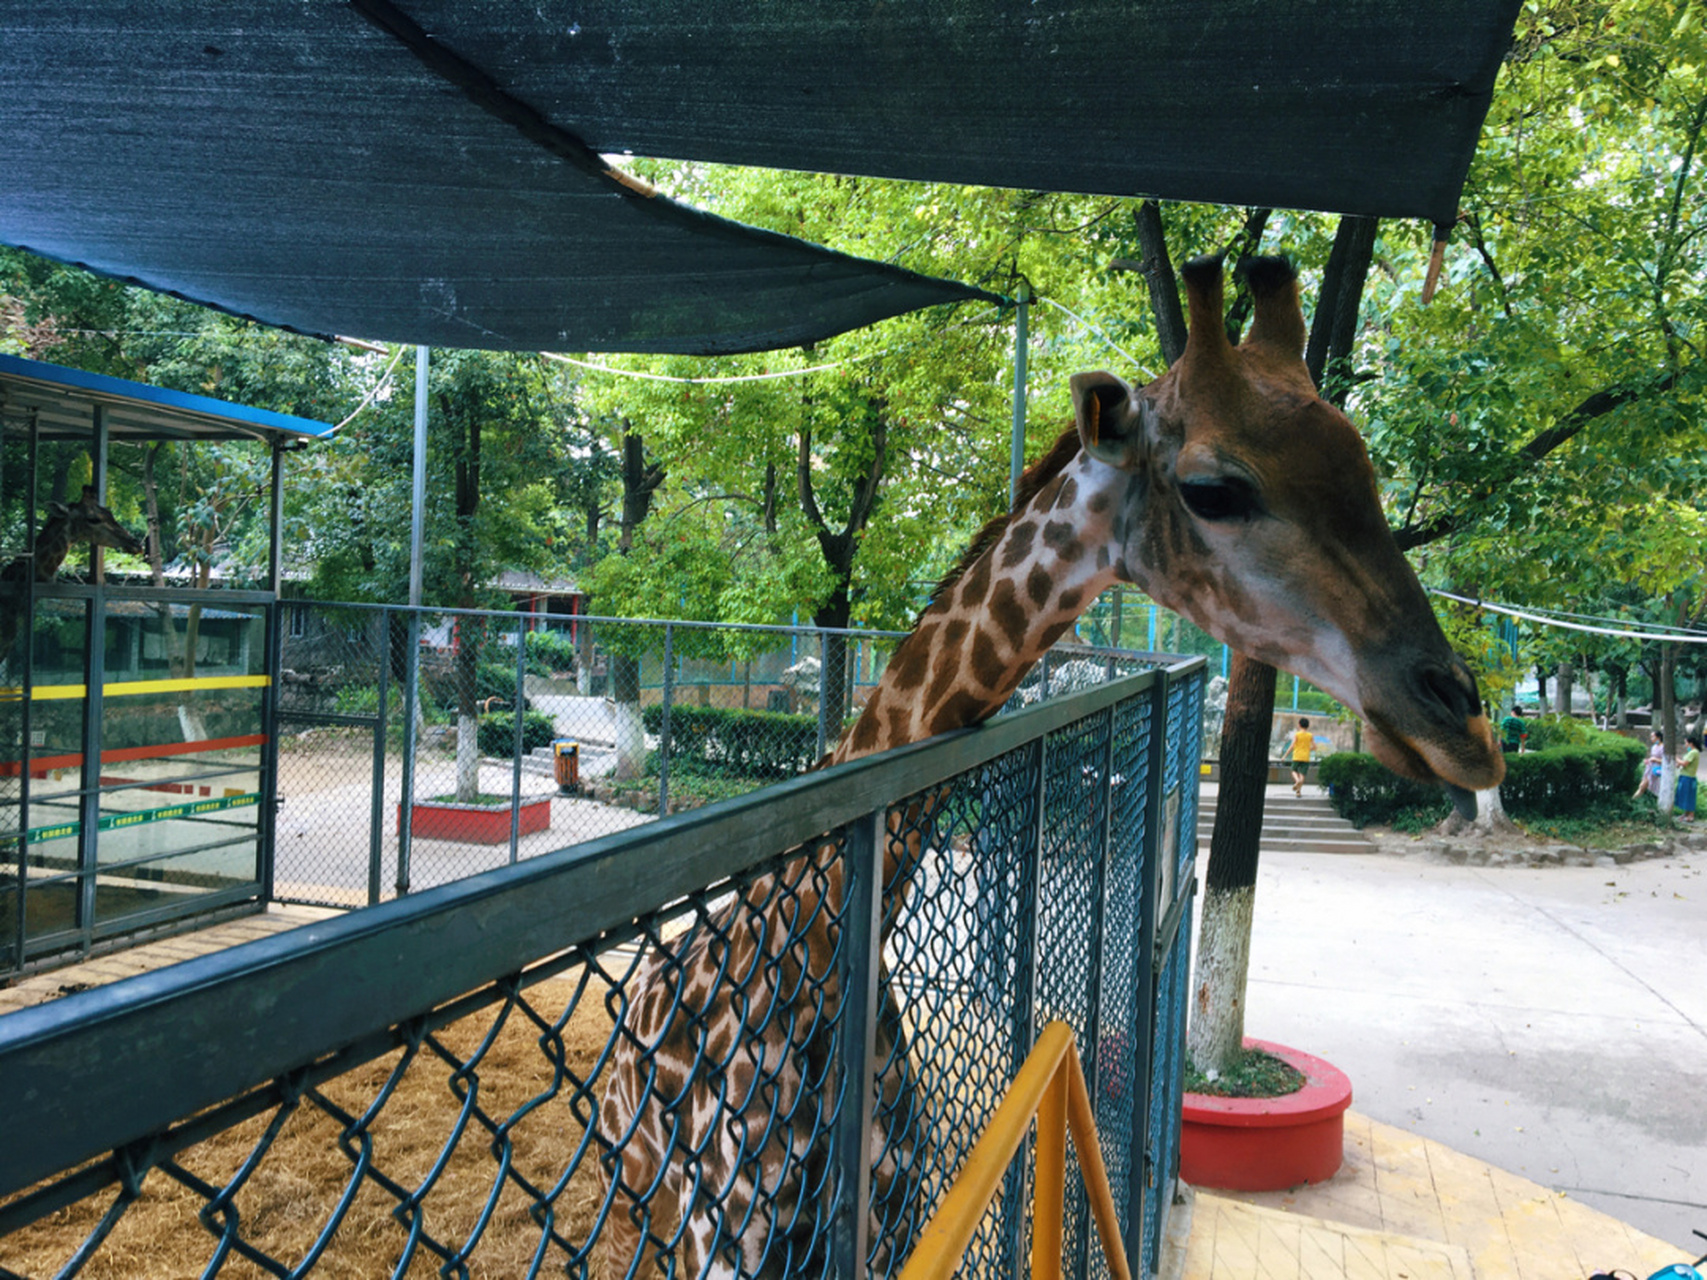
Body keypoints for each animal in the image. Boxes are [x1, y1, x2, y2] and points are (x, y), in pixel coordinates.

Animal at [594, 256, 1502, 1276]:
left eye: (1367, 470)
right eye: (1213, 488)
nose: (1464, 726)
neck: (817, 960)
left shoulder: (890, 1223)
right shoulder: (730, 1235)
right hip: (642, 1200)